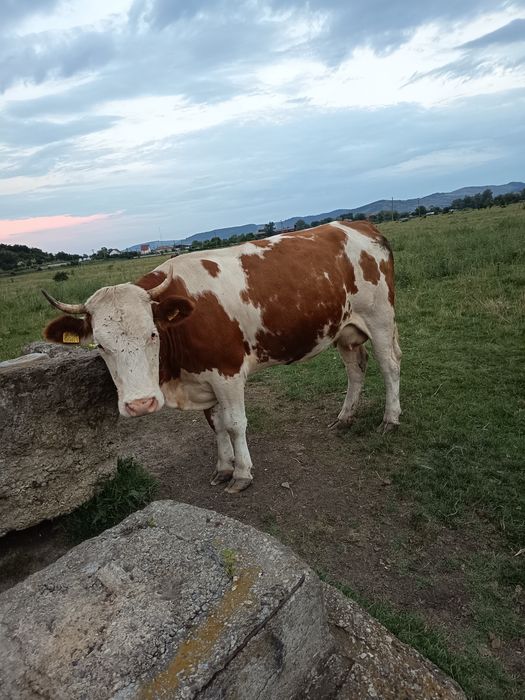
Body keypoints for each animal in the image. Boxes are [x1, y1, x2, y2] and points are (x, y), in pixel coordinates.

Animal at [42, 221, 401, 493]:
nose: (140, 404)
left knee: (390, 365)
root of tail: (357, 224)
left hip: (380, 318)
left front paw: (241, 474)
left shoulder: (228, 373)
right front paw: (224, 467)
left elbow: (235, 424)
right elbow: (215, 425)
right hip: (345, 329)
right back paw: (345, 417)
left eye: (152, 334)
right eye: (101, 346)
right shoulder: (203, 377)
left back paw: (390, 419)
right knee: (356, 369)